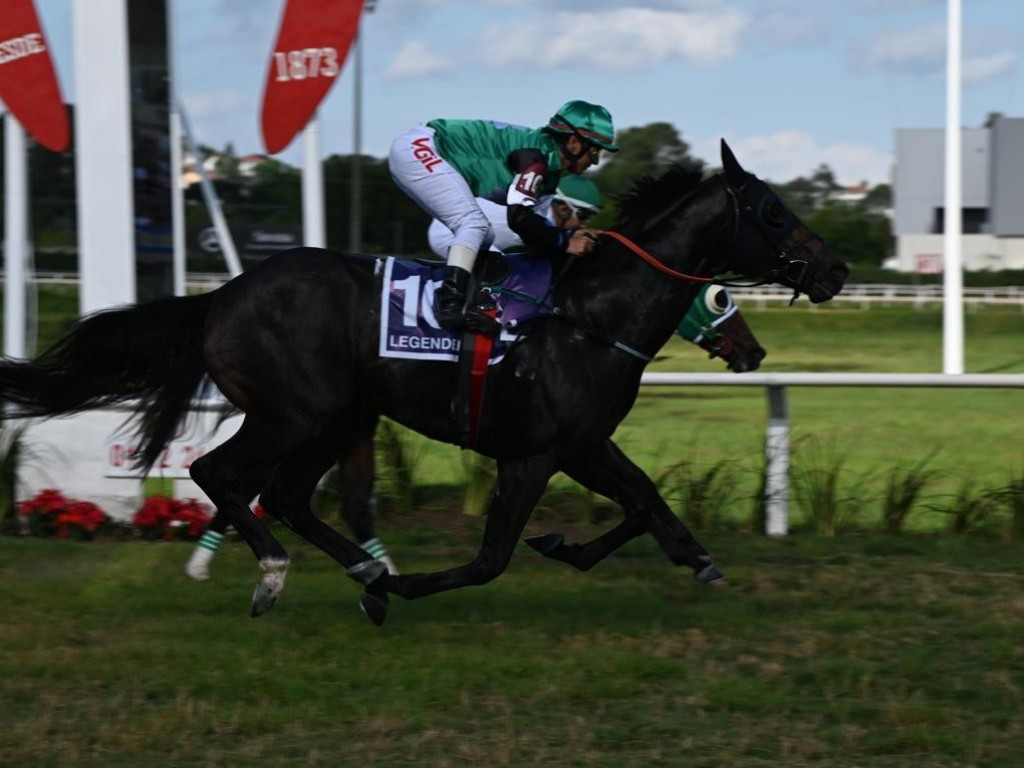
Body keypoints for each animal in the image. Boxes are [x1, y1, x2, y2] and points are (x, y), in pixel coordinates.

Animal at [0, 143, 847, 626]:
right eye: (772, 212)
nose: (836, 270)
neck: (589, 312)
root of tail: (223, 294)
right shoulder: (533, 453)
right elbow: (493, 557)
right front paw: (421, 582)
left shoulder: (582, 442)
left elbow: (647, 503)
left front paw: (678, 556)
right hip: (296, 412)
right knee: (223, 475)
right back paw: (282, 574)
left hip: (339, 417)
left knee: (291, 495)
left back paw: (363, 570)